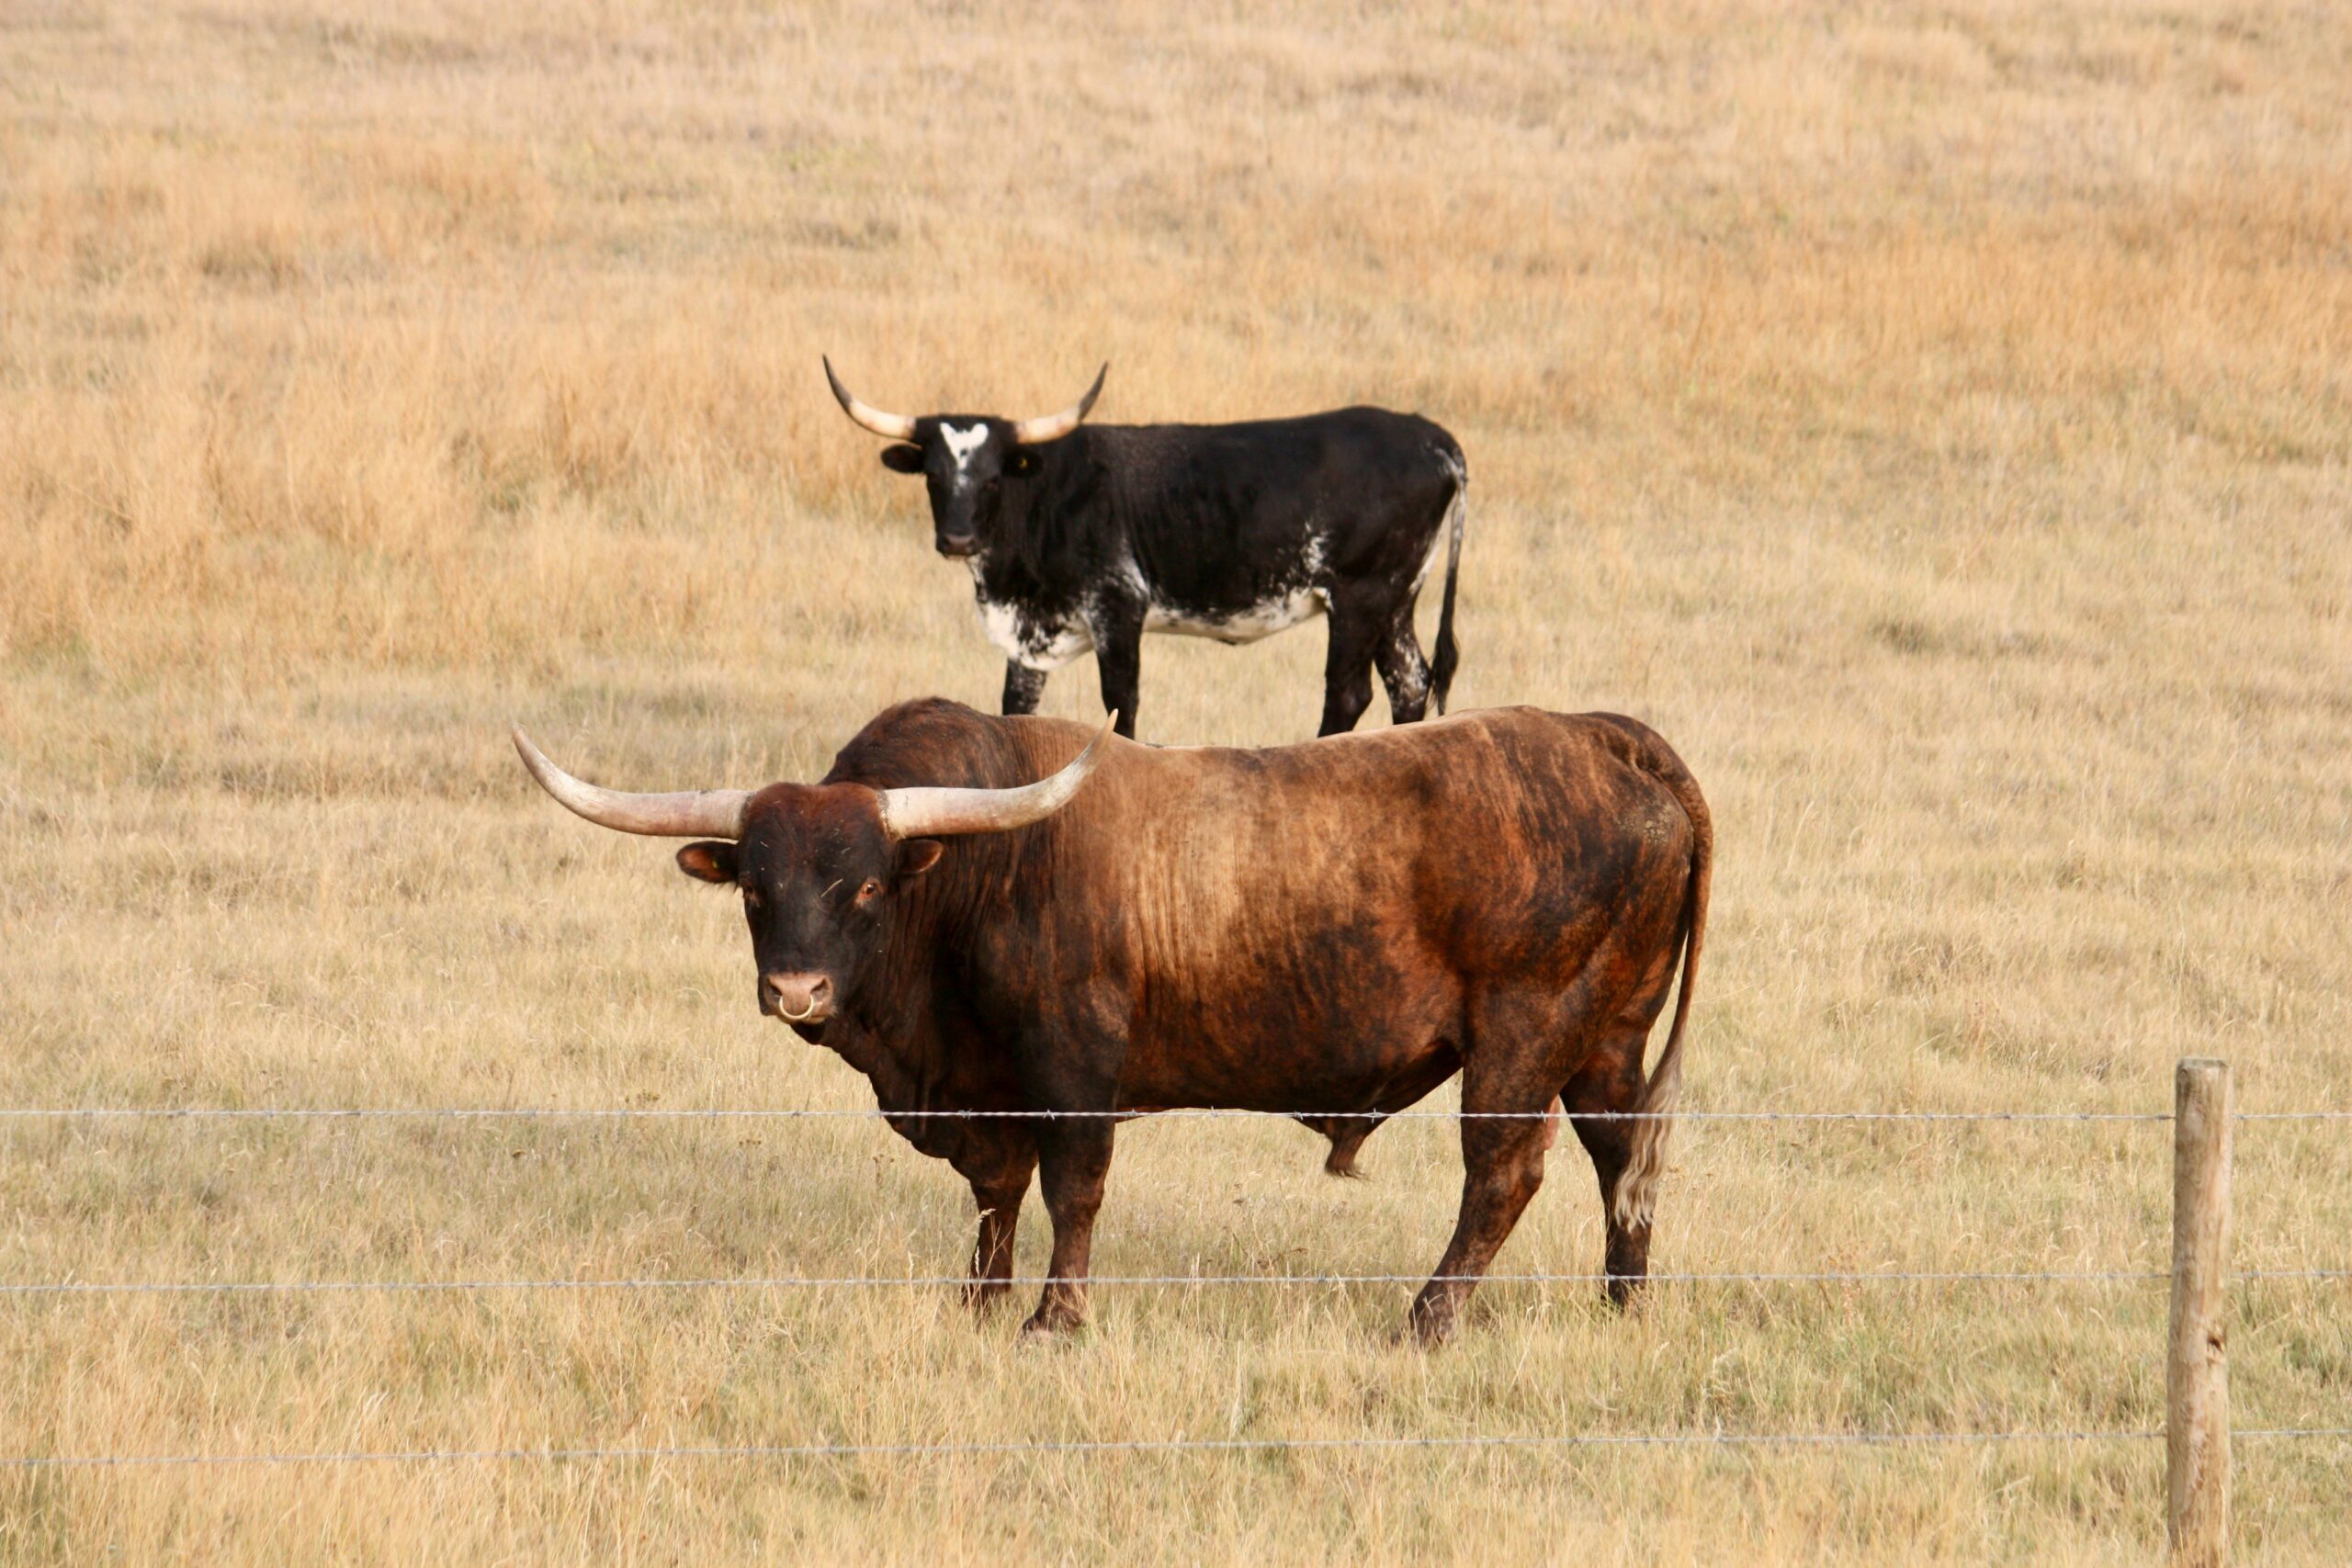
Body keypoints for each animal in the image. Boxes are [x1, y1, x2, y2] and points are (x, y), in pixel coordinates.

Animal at [510, 700, 1712, 1354]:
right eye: (757, 889)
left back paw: (1423, 1322)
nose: (795, 991)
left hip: (1522, 1034)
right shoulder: (988, 1093)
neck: (981, 875)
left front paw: (1052, 1321)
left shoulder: (1071, 1070)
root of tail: (1602, 739)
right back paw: (1623, 1302)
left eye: (865, 887)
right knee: (1625, 1161)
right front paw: (978, 1302)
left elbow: (1070, 1189)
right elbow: (995, 1195)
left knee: (1503, 1174)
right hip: (1606, 1039)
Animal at [818, 362, 1458, 742]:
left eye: (995, 477)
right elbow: (1015, 707)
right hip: (1396, 599)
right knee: (1410, 682)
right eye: (932, 474)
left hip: (1359, 596)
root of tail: (1432, 438)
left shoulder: (1117, 607)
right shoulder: (1030, 636)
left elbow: (1118, 703)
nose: (956, 539)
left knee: (1347, 692)